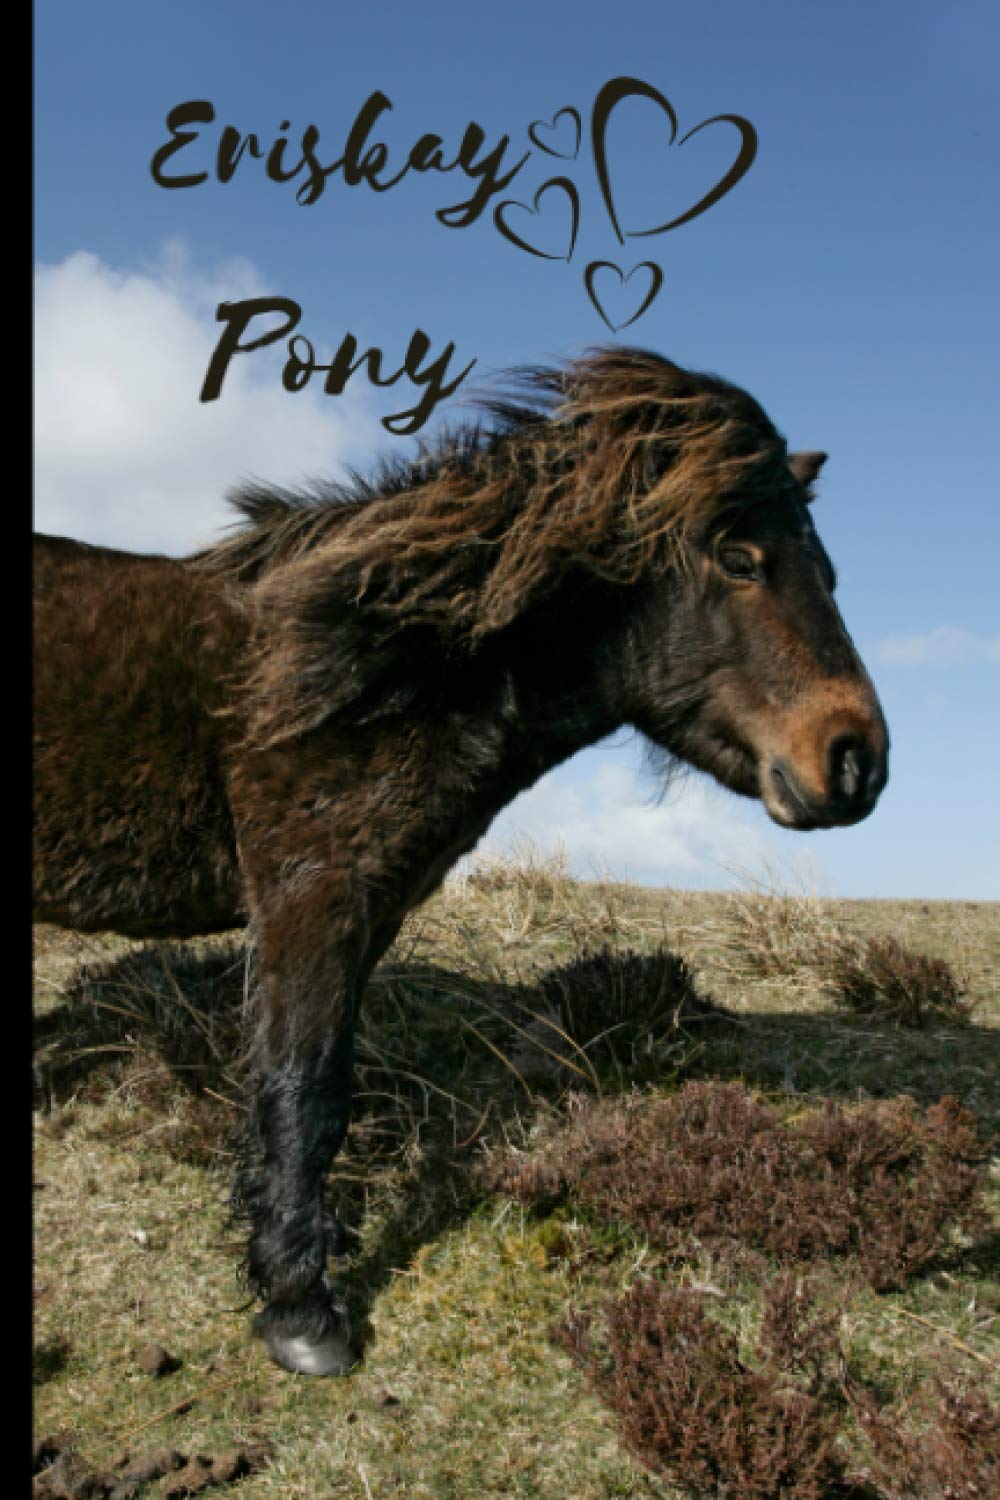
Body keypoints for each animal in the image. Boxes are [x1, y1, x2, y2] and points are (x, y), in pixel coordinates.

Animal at [33, 347, 889, 1376]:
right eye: (740, 560)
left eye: (829, 571)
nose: (857, 761)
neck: (375, 667)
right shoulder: (309, 899)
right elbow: (306, 1086)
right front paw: (300, 1308)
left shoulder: (366, 912)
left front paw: (289, 1238)